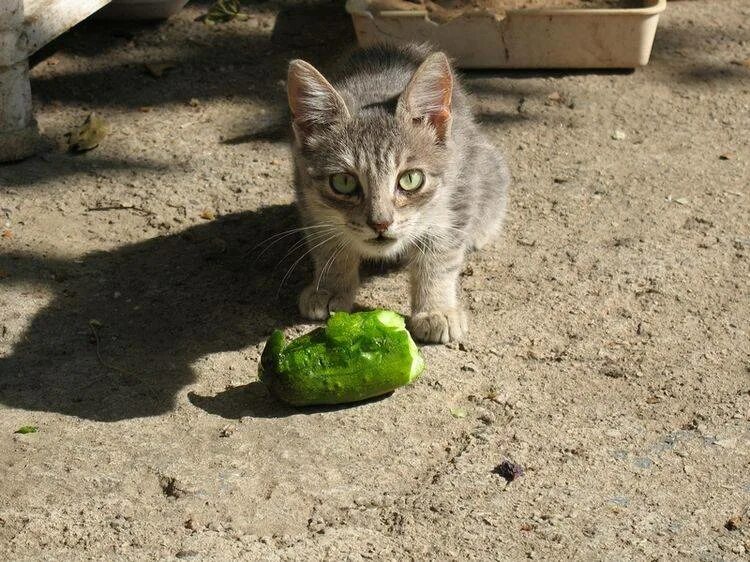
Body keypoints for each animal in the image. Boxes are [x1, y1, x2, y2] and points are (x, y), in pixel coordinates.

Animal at [288, 42, 512, 342]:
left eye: (410, 179)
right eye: (344, 182)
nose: (380, 223)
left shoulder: (456, 199)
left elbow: (439, 258)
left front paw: (436, 309)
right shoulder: (308, 199)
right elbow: (328, 246)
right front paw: (329, 287)